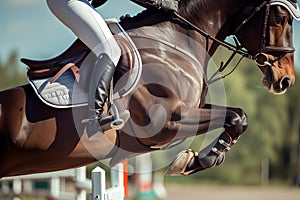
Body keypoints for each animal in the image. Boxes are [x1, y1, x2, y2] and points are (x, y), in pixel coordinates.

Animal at [0, 0, 298, 178]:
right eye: (280, 18)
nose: (286, 80)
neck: (173, 42)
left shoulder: (191, 109)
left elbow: (239, 116)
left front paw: (197, 159)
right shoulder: (166, 121)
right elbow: (236, 117)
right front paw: (203, 158)